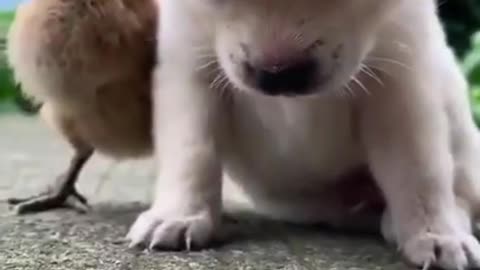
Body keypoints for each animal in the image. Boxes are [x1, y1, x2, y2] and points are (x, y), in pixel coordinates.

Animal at [127, 1, 480, 268]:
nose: (278, 76)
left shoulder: (402, 80)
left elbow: (419, 169)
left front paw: (434, 233)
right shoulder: (188, 68)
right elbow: (192, 151)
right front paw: (179, 215)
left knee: (463, 192)